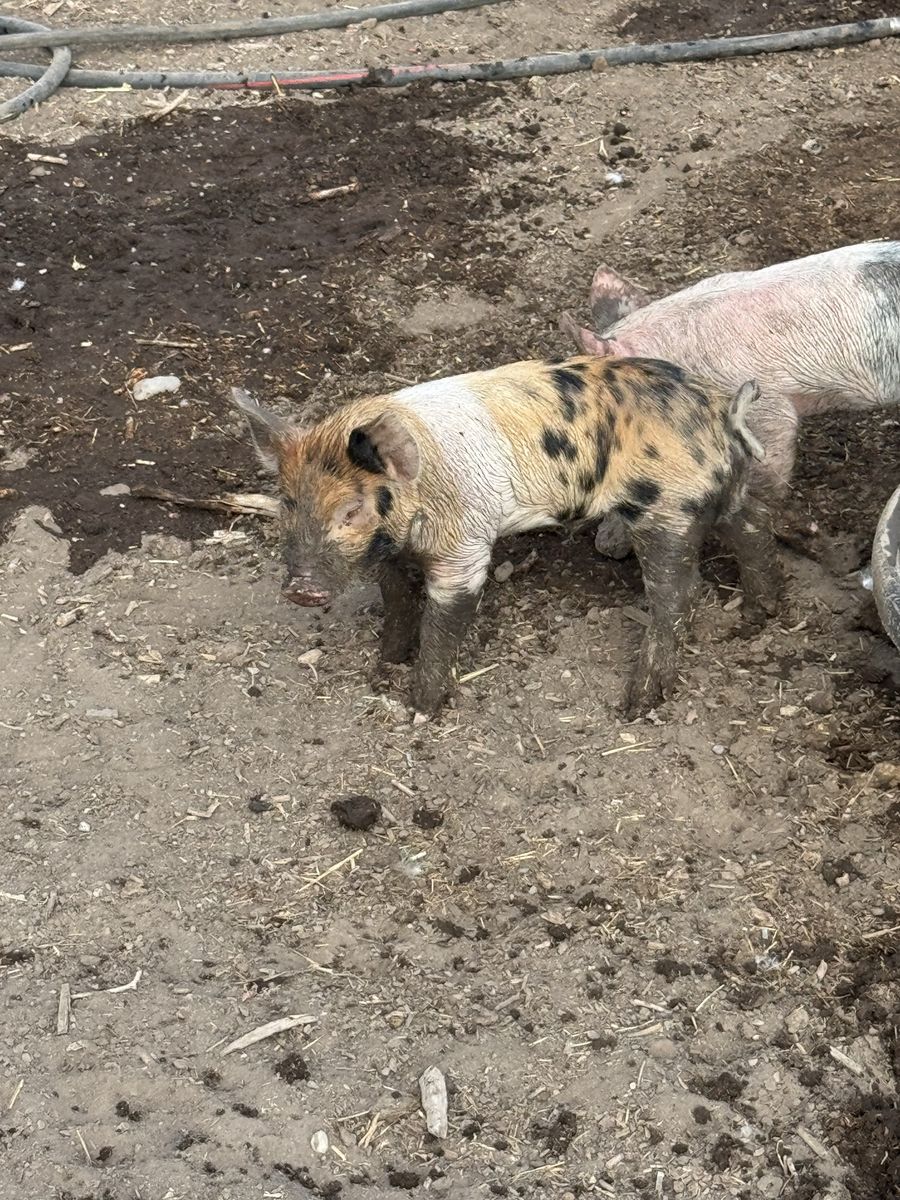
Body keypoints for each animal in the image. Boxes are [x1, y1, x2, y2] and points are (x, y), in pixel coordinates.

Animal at [232, 354, 776, 721]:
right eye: (287, 502)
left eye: (351, 510)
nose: (301, 589)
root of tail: (721, 409)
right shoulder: (392, 554)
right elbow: (396, 598)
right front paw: (385, 662)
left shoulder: (464, 546)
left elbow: (443, 620)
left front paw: (421, 708)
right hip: (725, 490)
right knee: (755, 528)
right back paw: (760, 614)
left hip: (665, 507)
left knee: (679, 592)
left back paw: (635, 704)